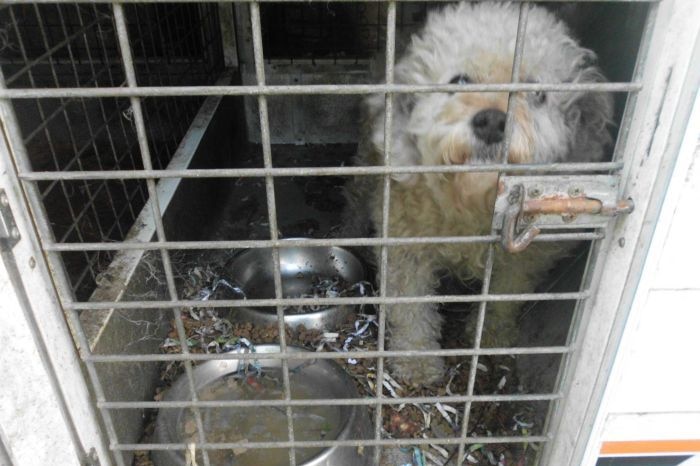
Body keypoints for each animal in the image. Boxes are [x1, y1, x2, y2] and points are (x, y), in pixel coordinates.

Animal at [344, 1, 612, 384]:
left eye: (537, 93)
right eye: (459, 81)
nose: (493, 121)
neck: (472, 204)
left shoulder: (527, 256)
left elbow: (504, 295)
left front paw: (490, 337)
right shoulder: (405, 243)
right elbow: (410, 306)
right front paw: (417, 362)